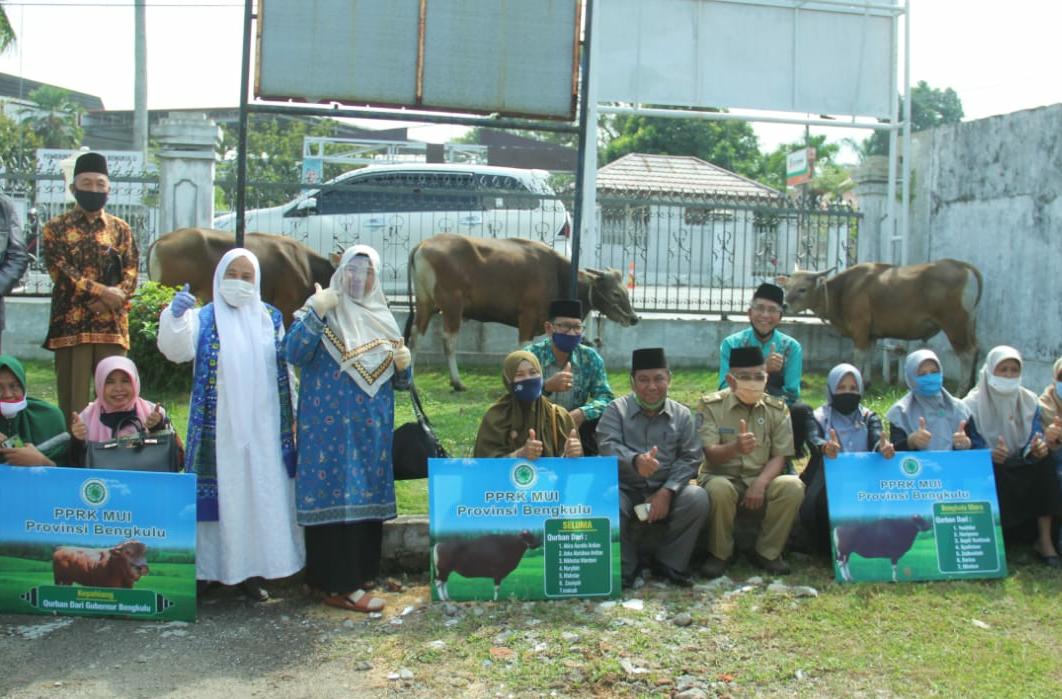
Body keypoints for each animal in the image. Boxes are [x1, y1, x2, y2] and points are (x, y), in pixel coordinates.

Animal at [403, 232, 637, 386]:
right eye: (616, 294)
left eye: (626, 291)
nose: (634, 318)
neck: (557, 274)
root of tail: (422, 245)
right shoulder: (528, 316)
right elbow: (524, 348)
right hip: (452, 306)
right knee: (448, 340)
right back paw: (457, 381)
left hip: (425, 302)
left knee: (416, 335)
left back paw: (410, 378)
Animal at [777, 260, 981, 395]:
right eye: (787, 287)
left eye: (802, 289)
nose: (784, 305)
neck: (844, 290)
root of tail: (966, 267)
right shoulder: (871, 333)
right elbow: (869, 354)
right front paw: (866, 382)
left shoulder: (860, 328)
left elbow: (859, 356)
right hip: (969, 324)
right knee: (976, 349)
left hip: (954, 324)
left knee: (966, 353)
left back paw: (961, 391)